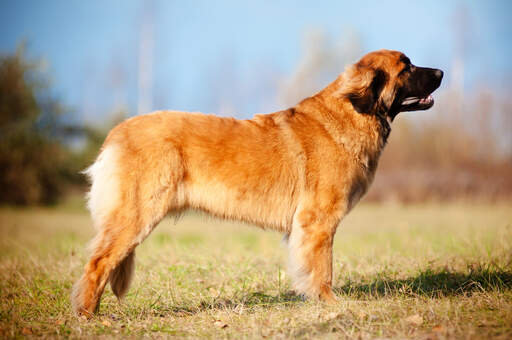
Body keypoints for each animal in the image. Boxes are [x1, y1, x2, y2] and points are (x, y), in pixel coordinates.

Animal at [72, 49, 444, 314]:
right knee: (98, 263)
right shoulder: (318, 221)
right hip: (136, 216)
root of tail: (117, 133)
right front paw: (328, 304)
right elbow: (322, 268)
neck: (353, 111)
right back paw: (89, 316)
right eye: (406, 67)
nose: (441, 72)